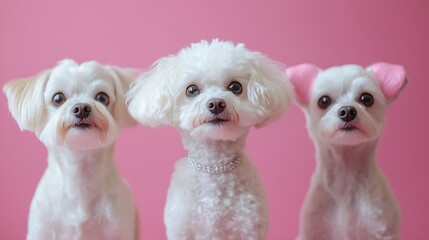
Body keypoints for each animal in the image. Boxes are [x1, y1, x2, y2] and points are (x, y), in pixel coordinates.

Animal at [3, 58, 140, 240]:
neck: (80, 179)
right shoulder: (42, 228)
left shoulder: (119, 227)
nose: (81, 108)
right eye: (58, 98)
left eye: (102, 97)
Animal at [127, 39, 294, 240]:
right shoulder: (181, 228)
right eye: (191, 90)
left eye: (235, 87)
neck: (215, 168)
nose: (216, 104)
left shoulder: (249, 227)